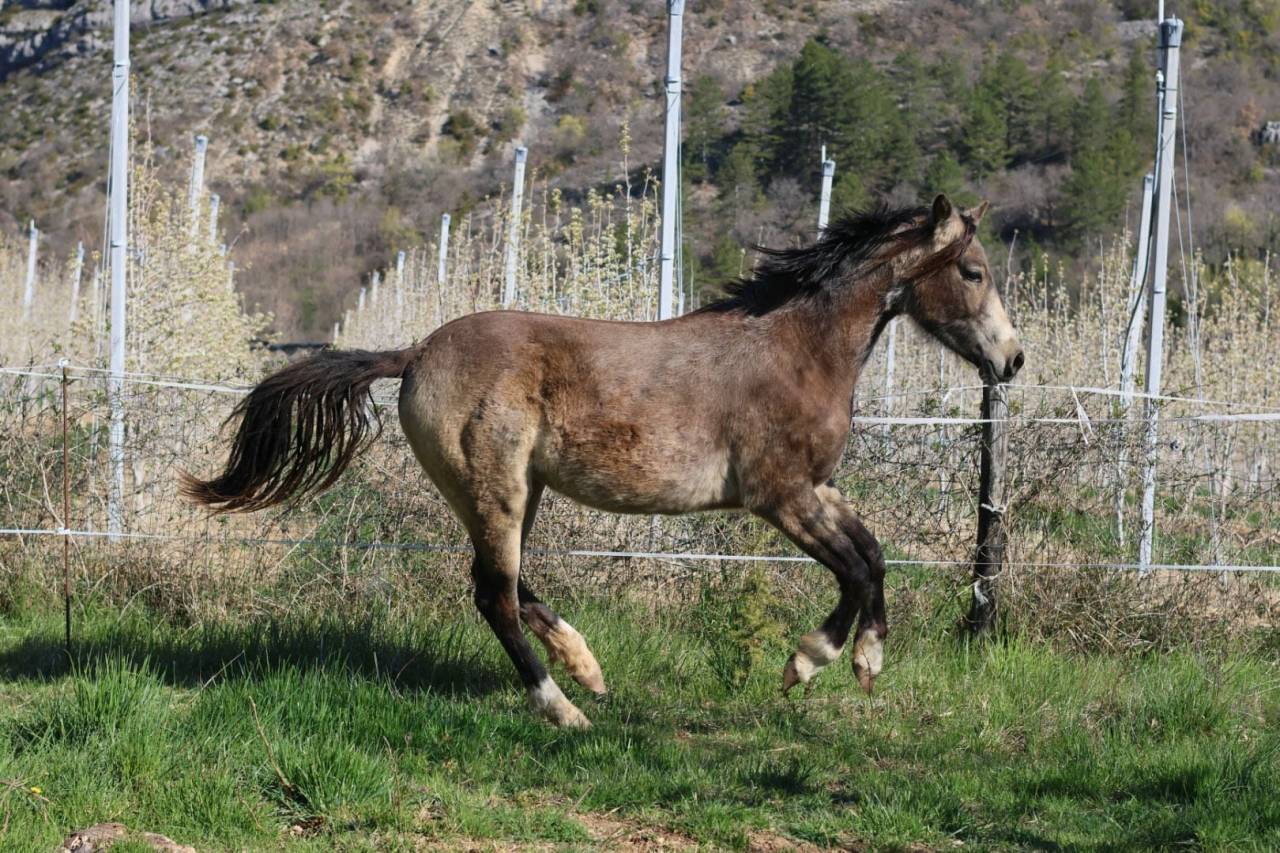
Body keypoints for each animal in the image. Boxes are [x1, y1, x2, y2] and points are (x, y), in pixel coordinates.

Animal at [182, 194, 1023, 728]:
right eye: (973, 272)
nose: (1011, 360)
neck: (795, 348)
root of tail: (416, 352)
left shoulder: (818, 487)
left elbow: (875, 555)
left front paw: (865, 663)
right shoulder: (781, 494)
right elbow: (852, 568)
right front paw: (809, 662)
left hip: (516, 492)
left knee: (506, 583)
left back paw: (586, 666)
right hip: (496, 490)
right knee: (493, 593)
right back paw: (564, 707)